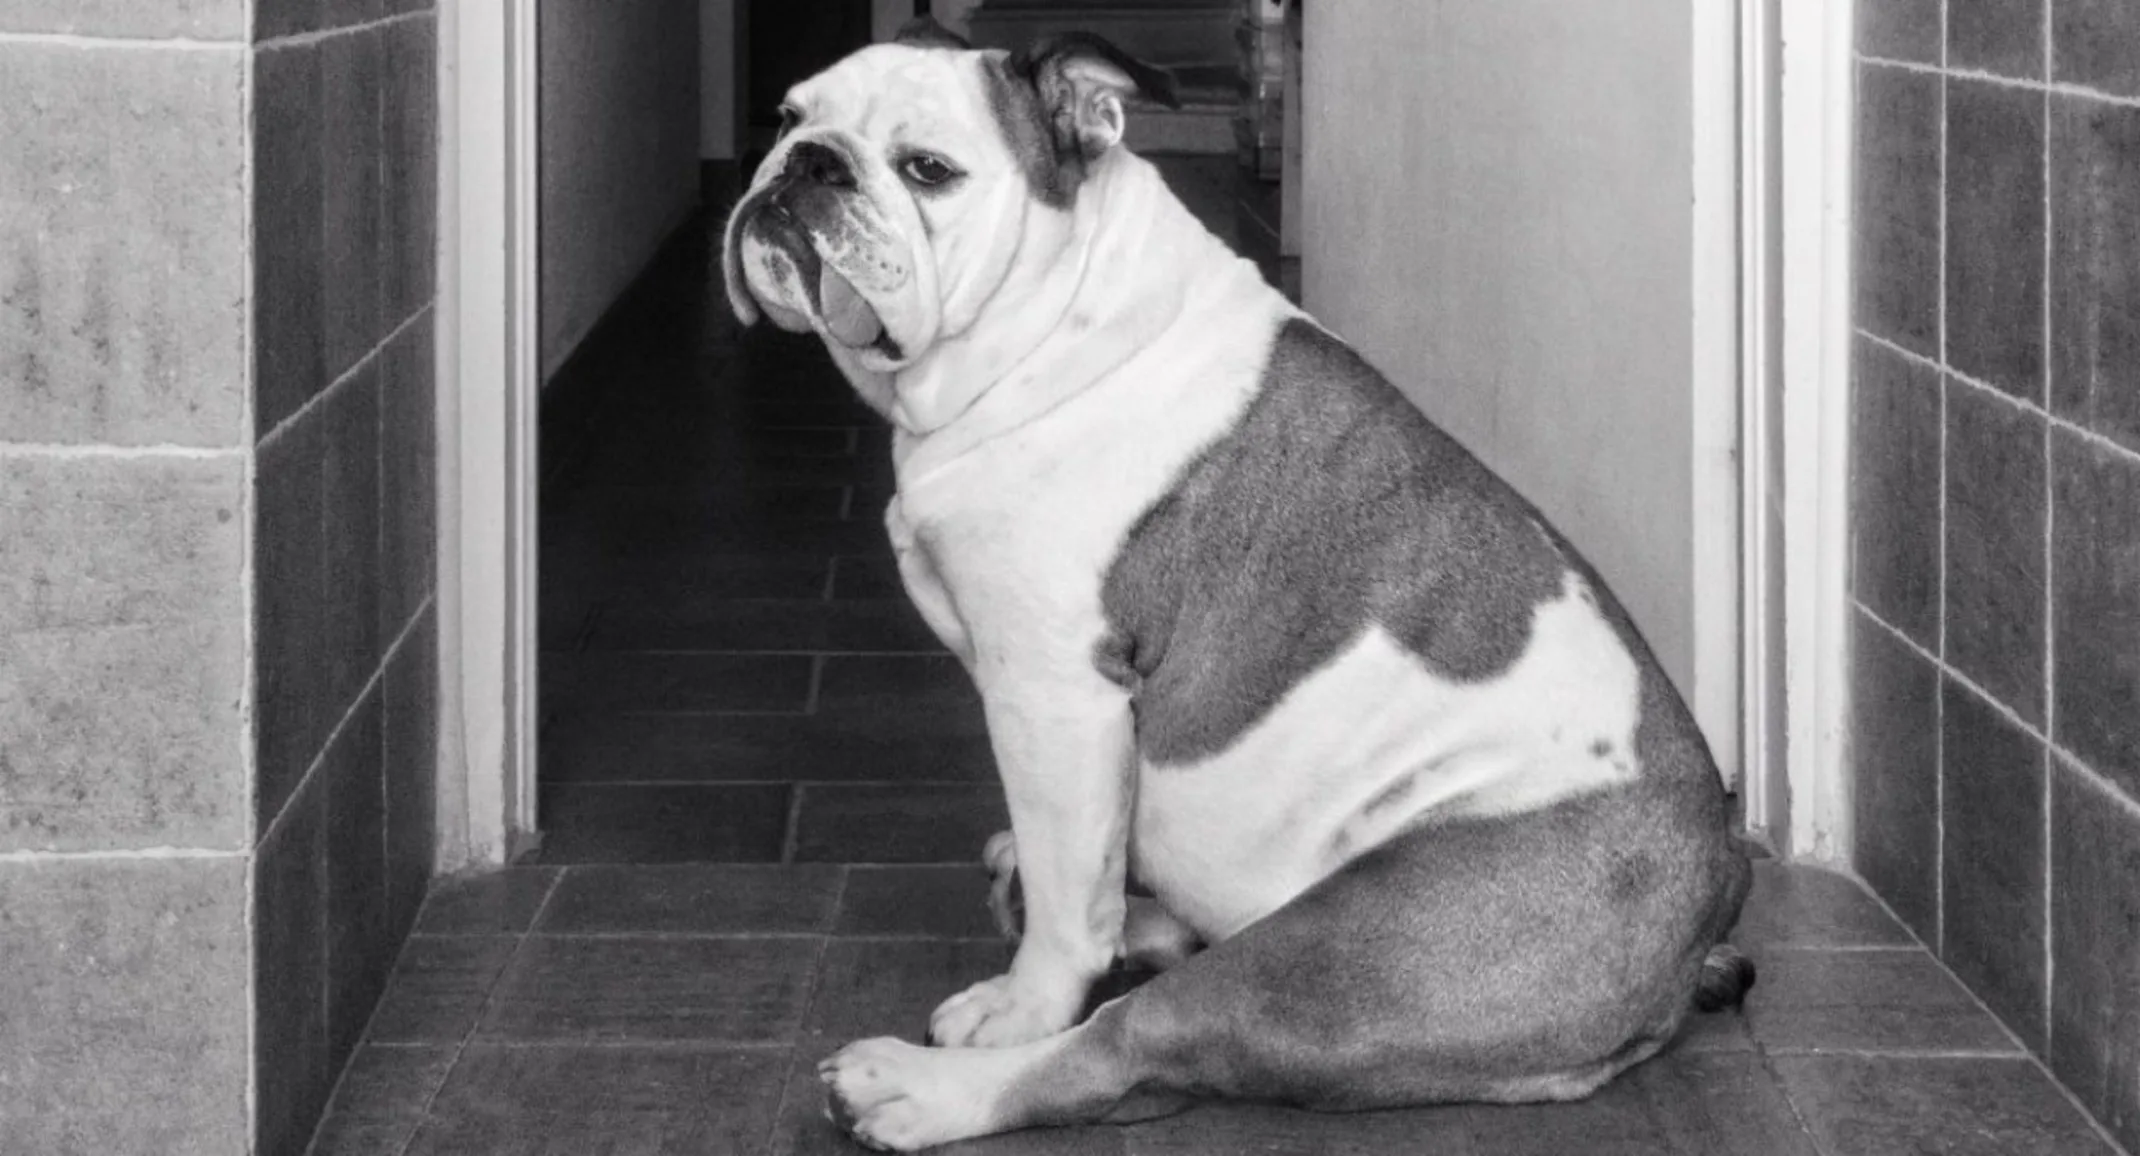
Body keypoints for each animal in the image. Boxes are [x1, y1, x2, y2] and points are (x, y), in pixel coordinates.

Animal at [719, 20, 1754, 1156]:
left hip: (1337, 956)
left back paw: (915, 1085)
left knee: (1123, 1049)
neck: (1052, 326)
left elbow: (1069, 903)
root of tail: (1702, 915)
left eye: (927, 170)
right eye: (790, 115)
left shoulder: (1056, 696)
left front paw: (1021, 999)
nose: (804, 166)